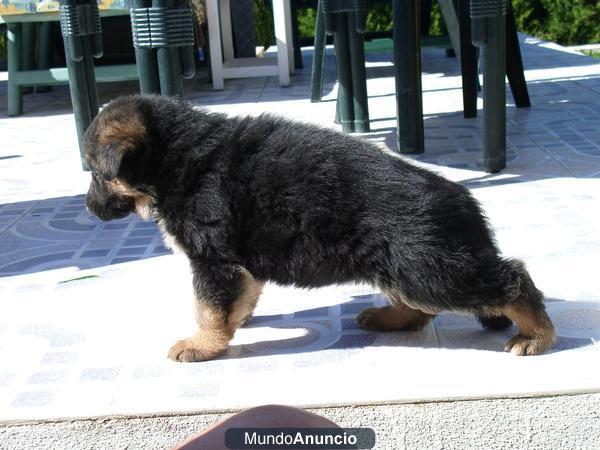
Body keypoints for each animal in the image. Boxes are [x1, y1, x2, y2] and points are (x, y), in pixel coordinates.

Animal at [83, 96, 552, 362]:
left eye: (95, 173)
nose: (88, 209)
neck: (176, 154)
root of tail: (464, 201)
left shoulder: (213, 260)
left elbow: (207, 307)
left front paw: (202, 343)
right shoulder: (237, 263)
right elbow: (241, 295)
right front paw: (236, 322)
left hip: (429, 268)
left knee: (513, 279)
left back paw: (537, 335)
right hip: (405, 268)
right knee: (421, 309)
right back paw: (389, 316)